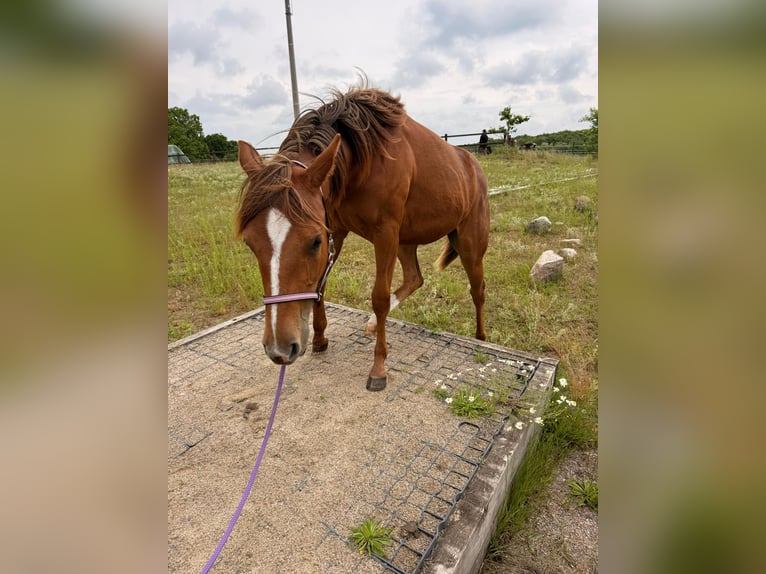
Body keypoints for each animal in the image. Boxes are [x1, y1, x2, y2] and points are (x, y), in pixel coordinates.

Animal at [235, 87, 489, 391]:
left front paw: (378, 367)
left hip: (469, 244)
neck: (362, 160)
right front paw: (320, 338)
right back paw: (371, 323)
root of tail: (472, 165)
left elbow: (379, 298)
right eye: (250, 243)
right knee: (415, 278)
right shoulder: (336, 229)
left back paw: (480, 339)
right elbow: (321, 285)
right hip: (405, 241)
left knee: (477, 290)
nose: (280, 349)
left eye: (314, 241)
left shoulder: (383, 233)